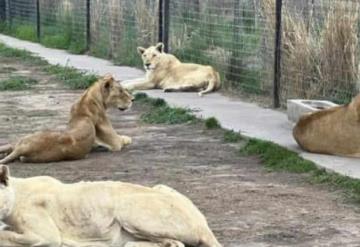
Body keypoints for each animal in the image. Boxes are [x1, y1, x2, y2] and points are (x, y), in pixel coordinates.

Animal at [0, 74, 134, 165]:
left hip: (18, 143)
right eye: (121, 91)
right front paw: (128, 139)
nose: (133, 99)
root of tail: (23, 149)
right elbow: (123, 139)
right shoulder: (115, 142)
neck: (85, 101)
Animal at [0, 164, 221, 247]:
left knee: (176, 244)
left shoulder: (48, 237)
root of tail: (204, 226)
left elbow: (7, 235)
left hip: (128, 208)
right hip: (161, 187)